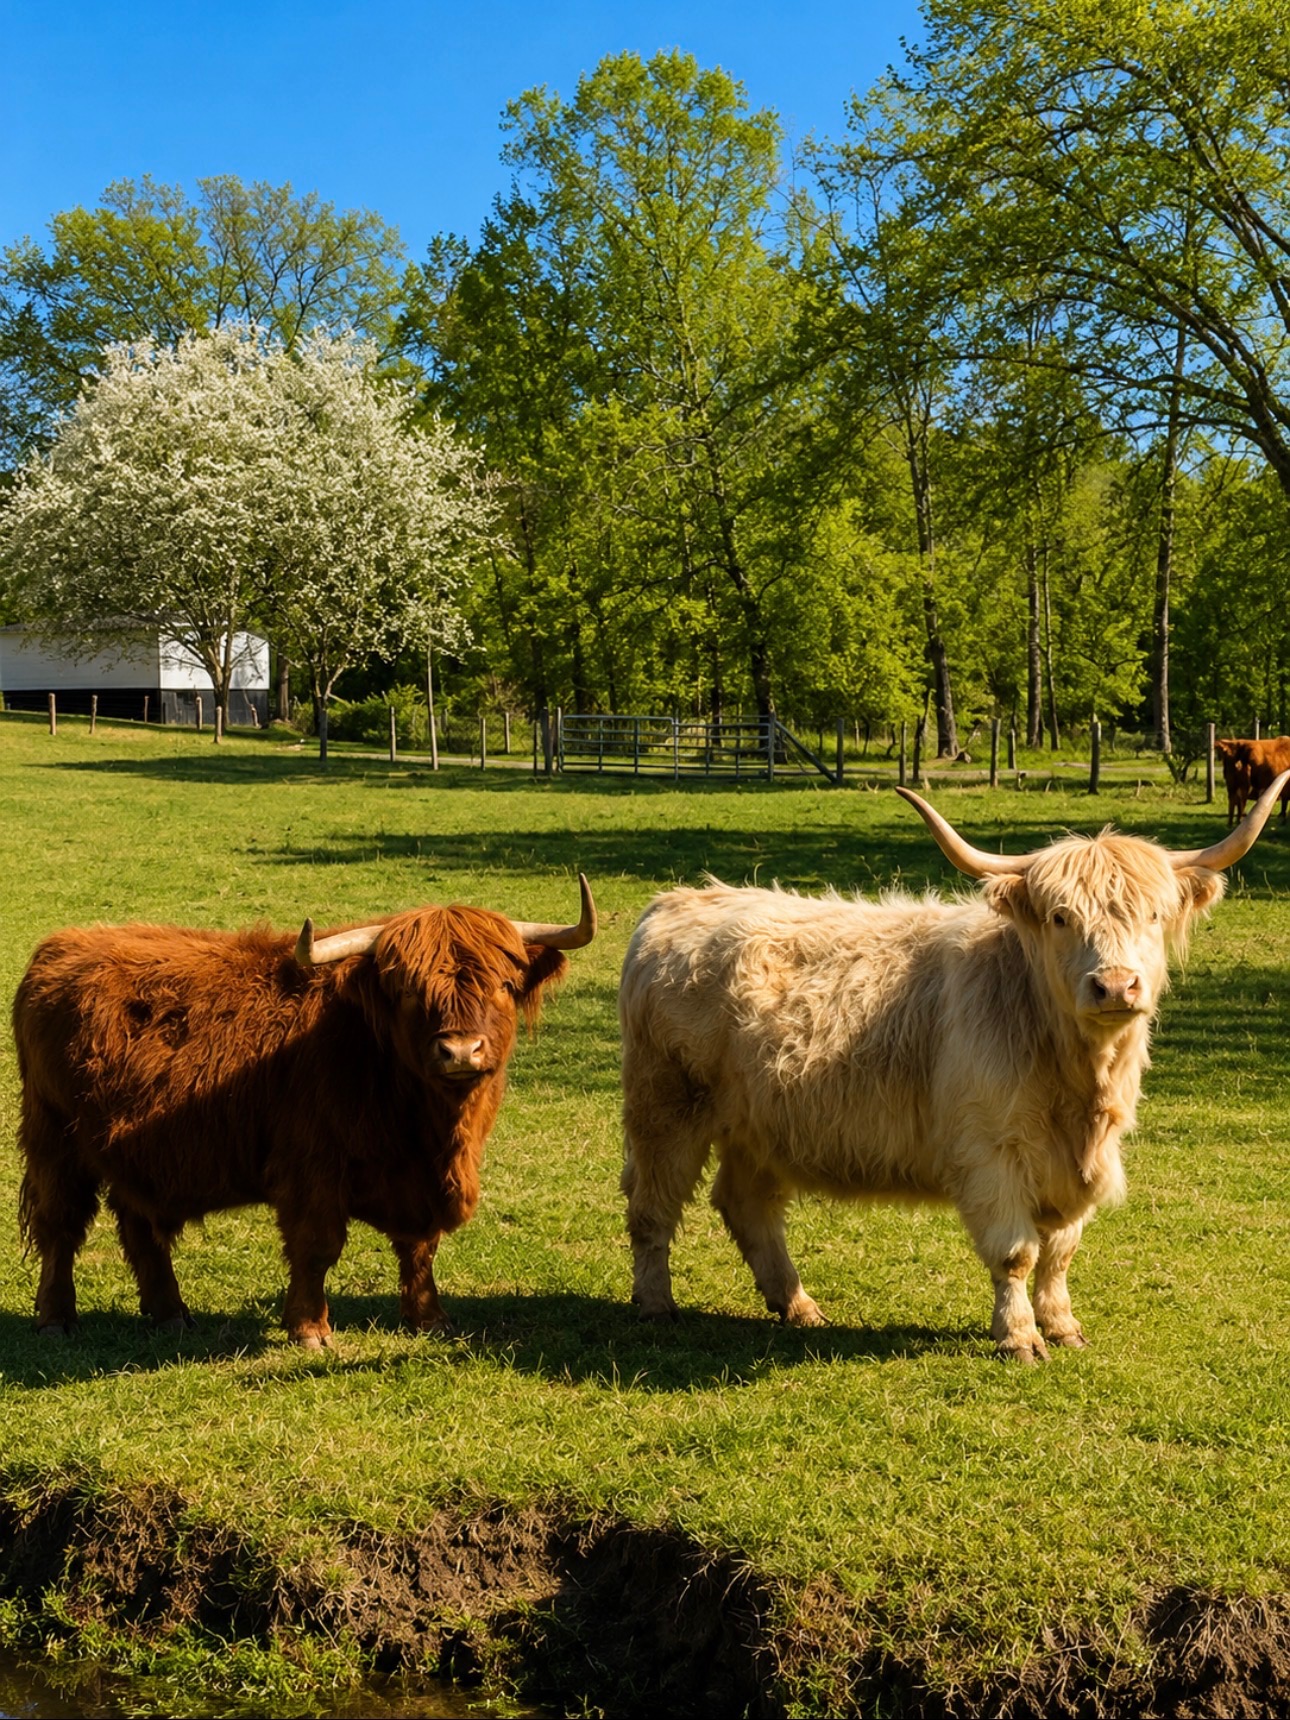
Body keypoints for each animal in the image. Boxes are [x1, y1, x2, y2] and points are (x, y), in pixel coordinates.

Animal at [13, 877, 596, 1347]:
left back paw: (171, 1314)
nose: (460, 1051)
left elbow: (419, 1249)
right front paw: (311, 1329)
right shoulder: (310, 1169)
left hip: (133, 1152)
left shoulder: (419, 1184)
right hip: (53, 1138)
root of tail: (63, 944)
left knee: (140, 1226)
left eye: (503, 985)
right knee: (59, 1228)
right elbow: (317, 1248)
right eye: (409, 991)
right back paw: (56, 1319)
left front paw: (429, 1319)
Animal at [618, 781, 1287, 1362]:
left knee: (746, 1203)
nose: (1116, 985)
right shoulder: (990, 1150)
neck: (1078, 1085)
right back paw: (656, 1306)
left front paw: (1063, 1326)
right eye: (1060, 917)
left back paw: (797, 1304)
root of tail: (676, 903)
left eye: (1153, 914)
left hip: (758, 1122)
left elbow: (1061, 1251)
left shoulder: (1084, 1161)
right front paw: (1019, 1338)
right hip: (664, 1107)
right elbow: (1017, 1253)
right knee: (652, 1206)